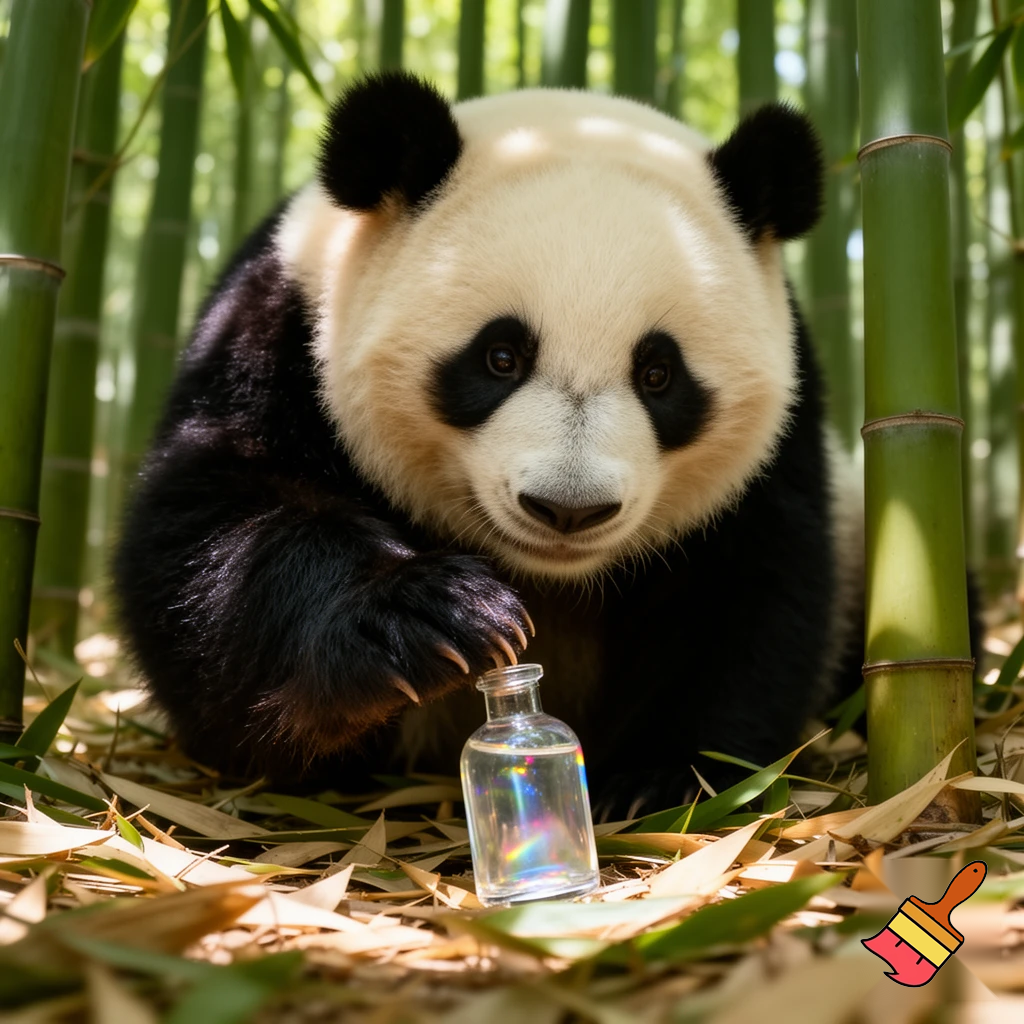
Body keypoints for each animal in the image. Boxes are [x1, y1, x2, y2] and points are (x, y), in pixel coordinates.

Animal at [114, 72, 863, 819]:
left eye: (658, 374)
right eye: (500, 357)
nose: (568, 509)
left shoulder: (784, 440)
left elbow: (747, 594)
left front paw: (661, 778)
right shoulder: (275, 332)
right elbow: (214, 530)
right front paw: (426, 620)